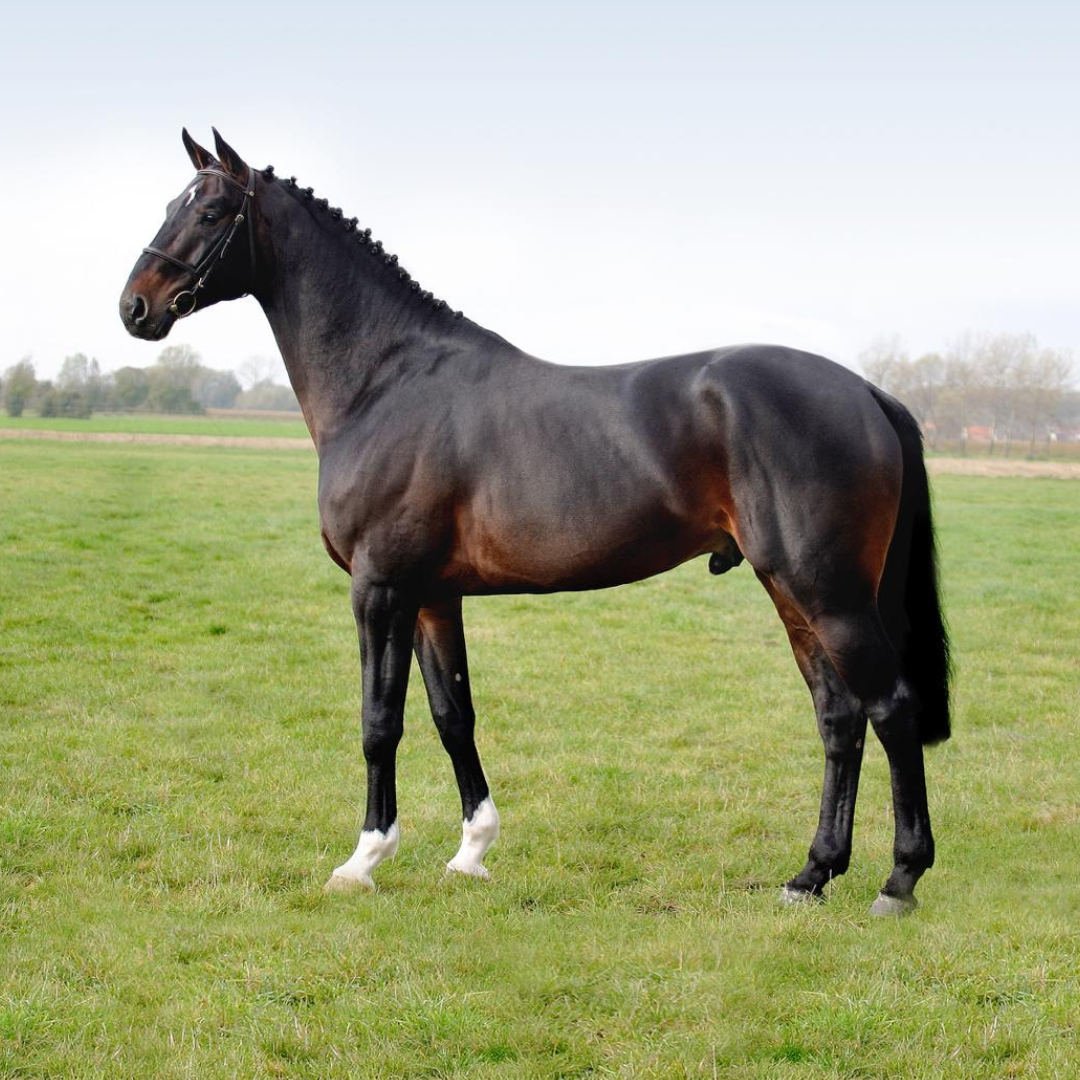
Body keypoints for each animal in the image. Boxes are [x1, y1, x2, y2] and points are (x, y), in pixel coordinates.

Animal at [119, 129, 950, 915]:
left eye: (210, 212)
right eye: (170, 204)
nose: (134, 308)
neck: (386, 380)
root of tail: (866, 392)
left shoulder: (379, 588)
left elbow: (379, 721)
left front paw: (362, 861)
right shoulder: (432, 595)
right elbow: (453, 715)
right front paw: (471, 851)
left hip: (828, 594)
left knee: (891, 710)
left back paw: (899, 880)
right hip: (794, 593)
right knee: (838, 718)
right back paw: (812, 874)